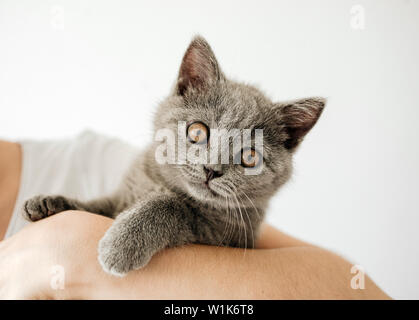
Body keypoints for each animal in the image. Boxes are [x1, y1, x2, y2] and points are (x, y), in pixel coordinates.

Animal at [21, 34, 326, 276]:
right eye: (198, 131)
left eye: (250, 157)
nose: (212, 169)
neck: (162, 185)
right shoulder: (119, 199)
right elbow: (96, 206)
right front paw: (50, 202)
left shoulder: (225, 236)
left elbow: (175, 207)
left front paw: (121, 245)